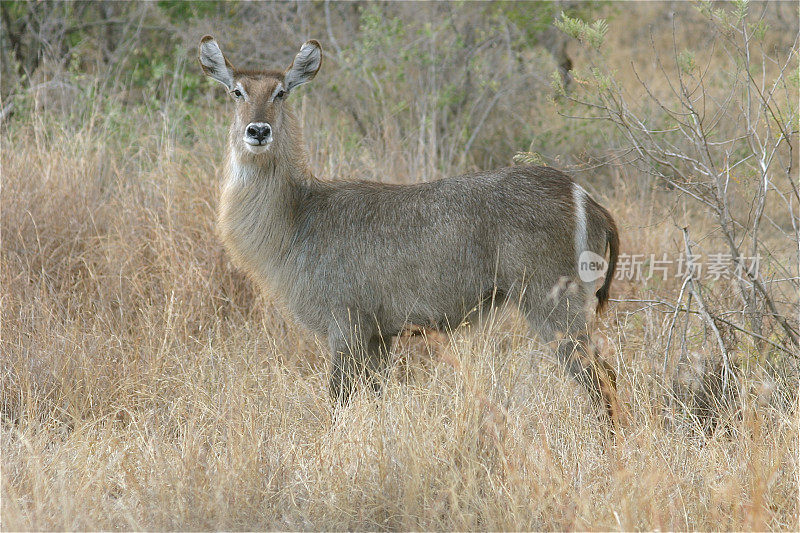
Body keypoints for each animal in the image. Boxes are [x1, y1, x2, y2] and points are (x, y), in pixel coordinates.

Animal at [197, 36, 620, 420]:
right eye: (236, 91)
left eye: (281, 92)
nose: (258, 131)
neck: (298, 215)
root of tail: (586, 198)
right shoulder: (379, 335)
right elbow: (378, 396)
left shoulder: (346, 324)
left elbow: (338, 399)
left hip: (552, 303)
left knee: (600, 377)